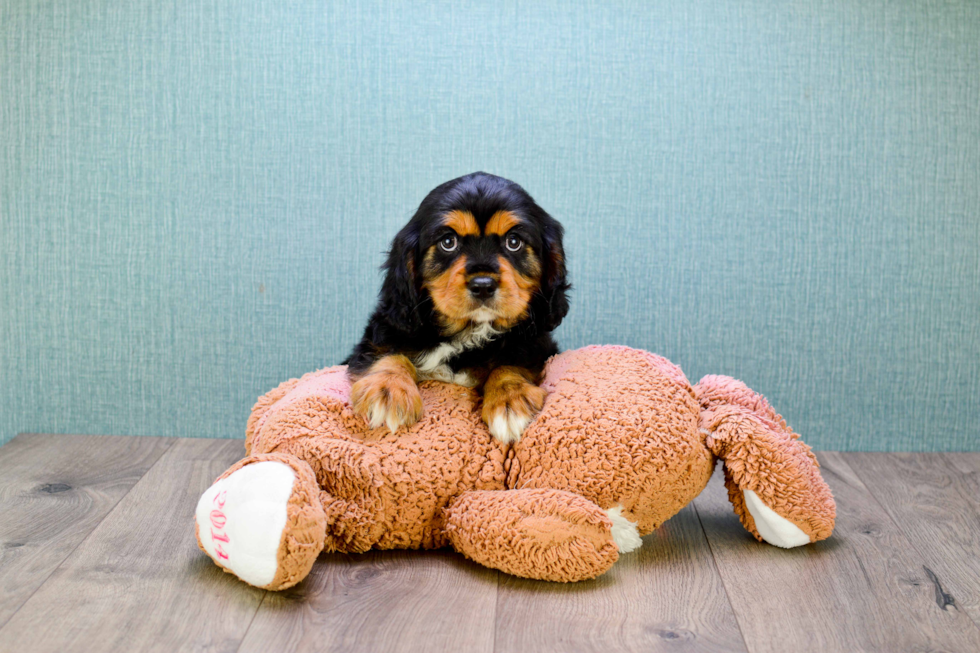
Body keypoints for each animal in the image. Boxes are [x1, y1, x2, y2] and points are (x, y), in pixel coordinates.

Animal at [344, 171, 572, 440]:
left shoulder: (535, 345)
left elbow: (511, 363)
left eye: (514, 241)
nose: (483, 285)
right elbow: (389, 353)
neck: (469, 332)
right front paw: (387, 390)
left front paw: (510, 400)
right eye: (448, 241)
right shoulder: (382, 334)